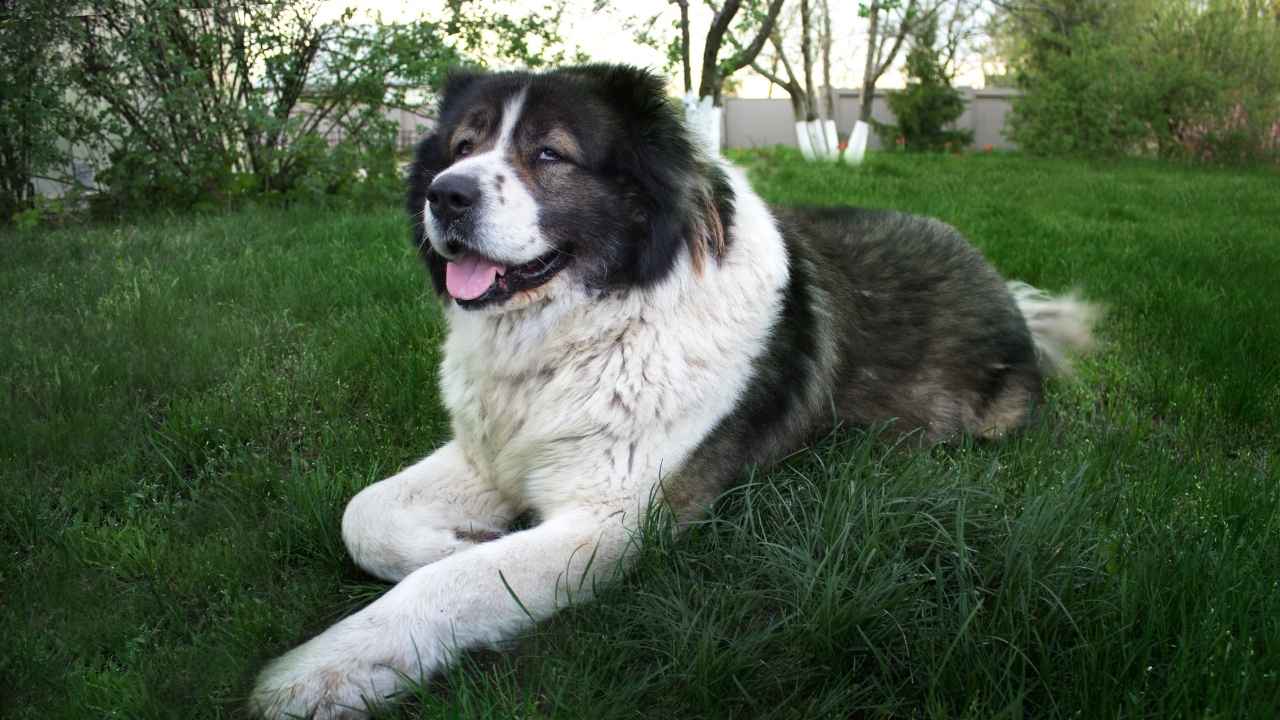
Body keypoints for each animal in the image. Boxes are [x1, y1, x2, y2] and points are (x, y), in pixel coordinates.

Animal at [252, 64, 1100, 712]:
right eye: (463, 147)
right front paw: (454, 537)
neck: (592, 324)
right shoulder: (495, 452)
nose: (447, 194)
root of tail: (1007, 294)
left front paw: (321, 671)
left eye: (548, 154)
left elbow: (448, 585)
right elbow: (362, 515)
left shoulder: (612, 523)